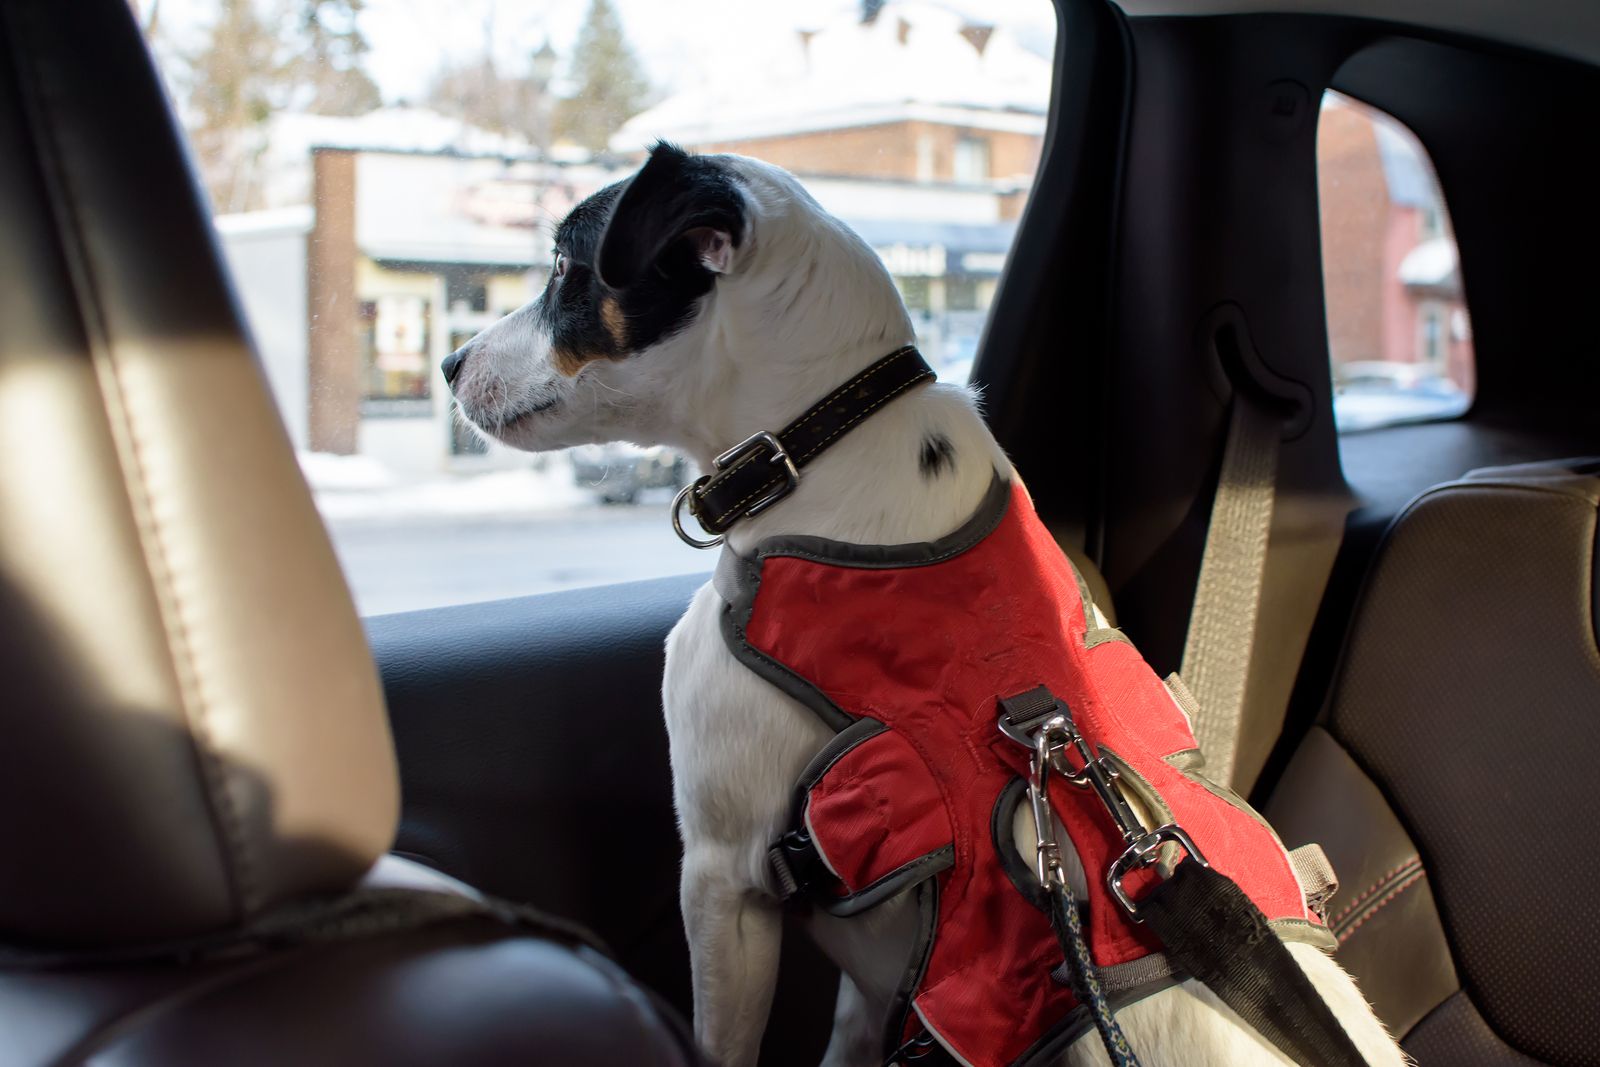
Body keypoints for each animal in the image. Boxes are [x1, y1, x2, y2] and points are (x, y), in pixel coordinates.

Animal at [444, 143, 1408, 1067]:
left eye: (564, 266)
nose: (450, 362)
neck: (821, 442)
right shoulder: (868, 983)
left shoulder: (721, 874)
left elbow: (723, 1041)